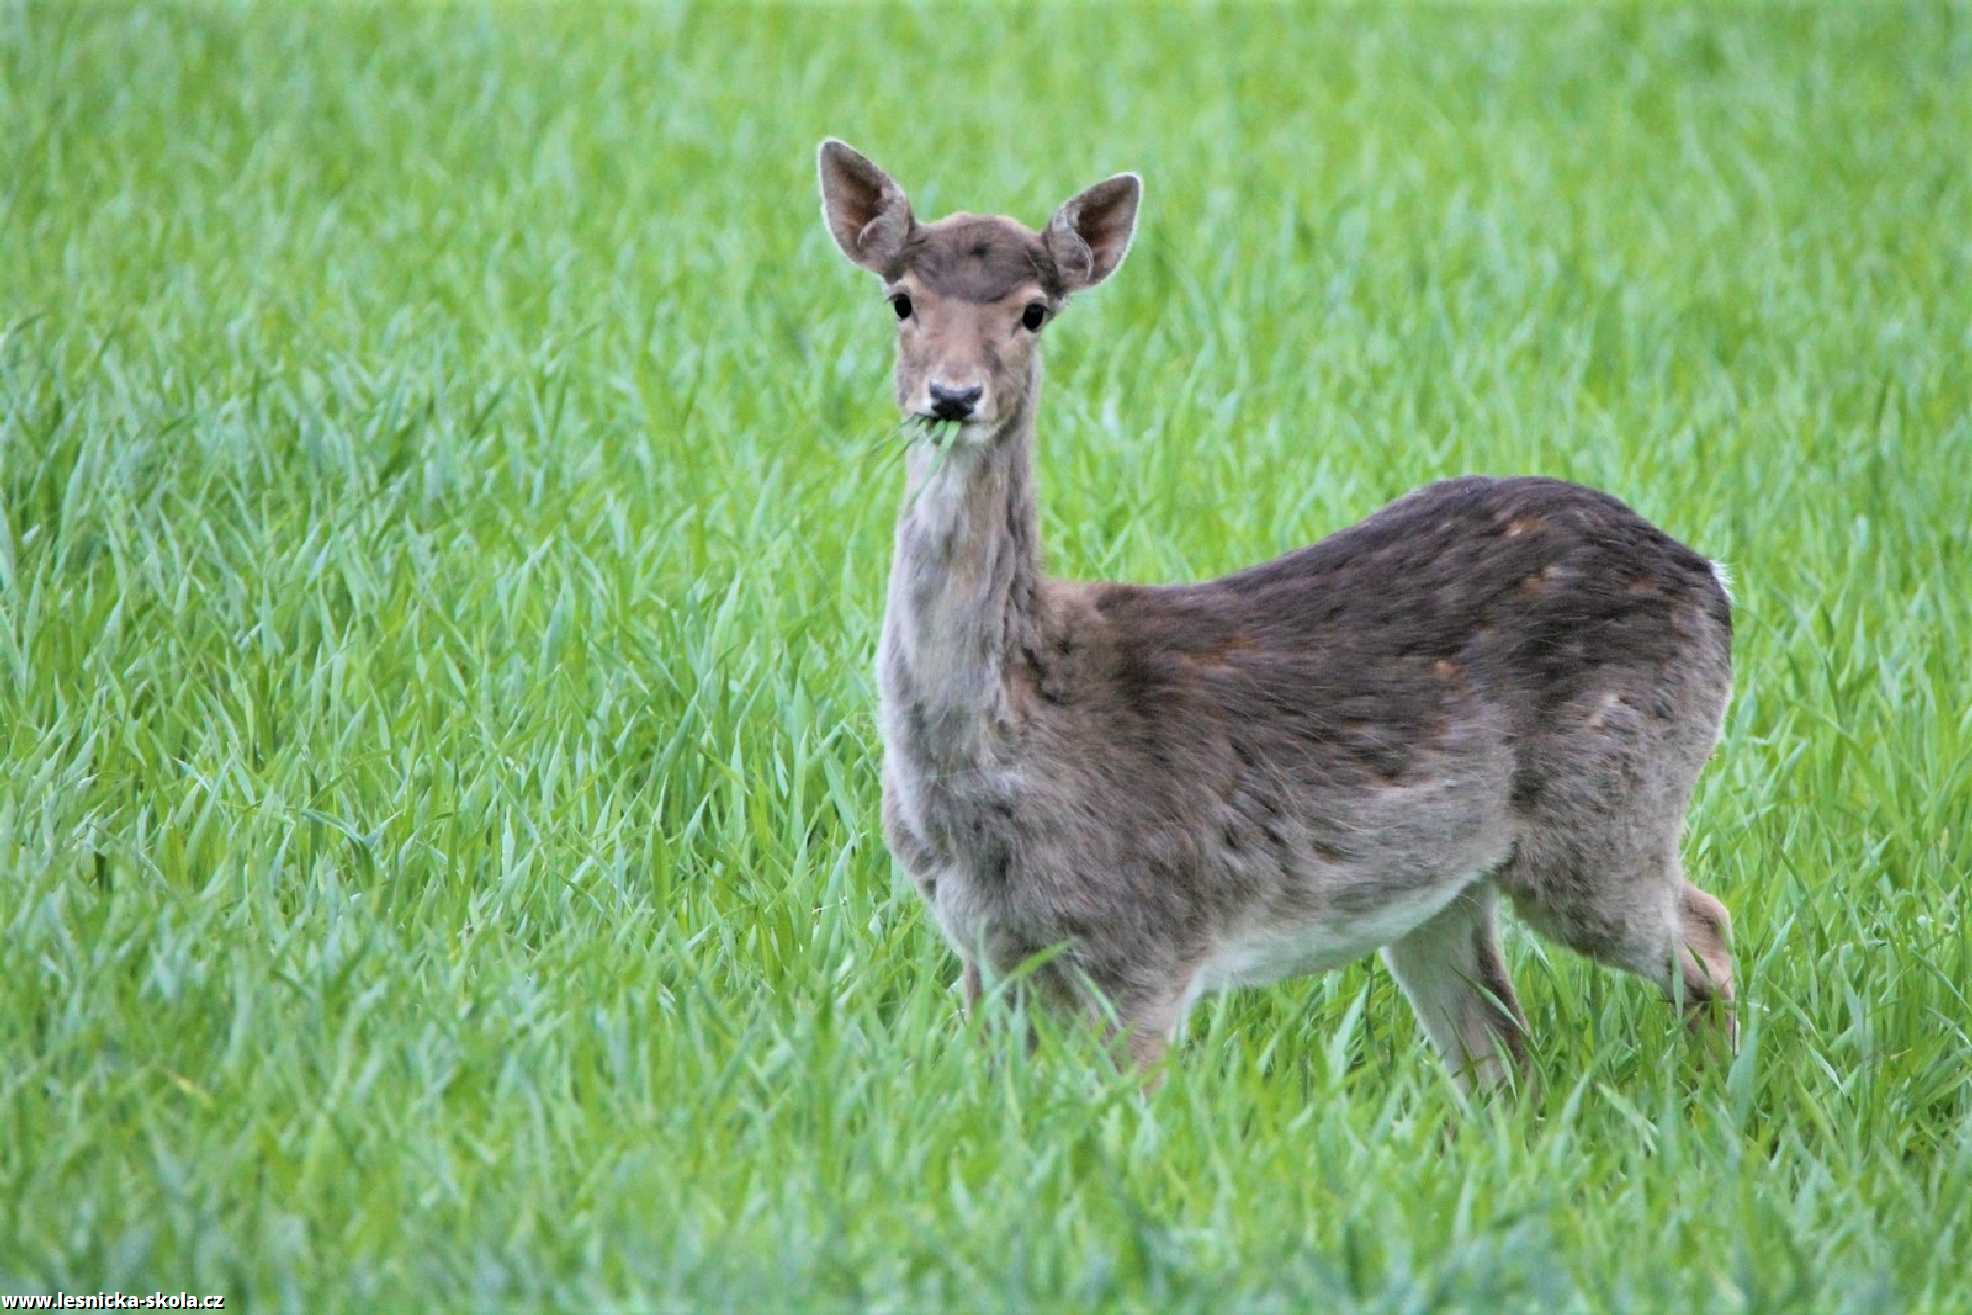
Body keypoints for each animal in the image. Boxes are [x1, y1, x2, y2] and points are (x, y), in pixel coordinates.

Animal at [816, 138, 1743, 1096]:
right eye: (901, 298)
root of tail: (1712, 579)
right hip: (1446, 894)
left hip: (1605, 816)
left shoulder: (1149, 943)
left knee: (1707, 932)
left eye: (1034, 311)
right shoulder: (984, 950)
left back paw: (1713, 1095)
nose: (952, 395)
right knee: (1503, 1058)